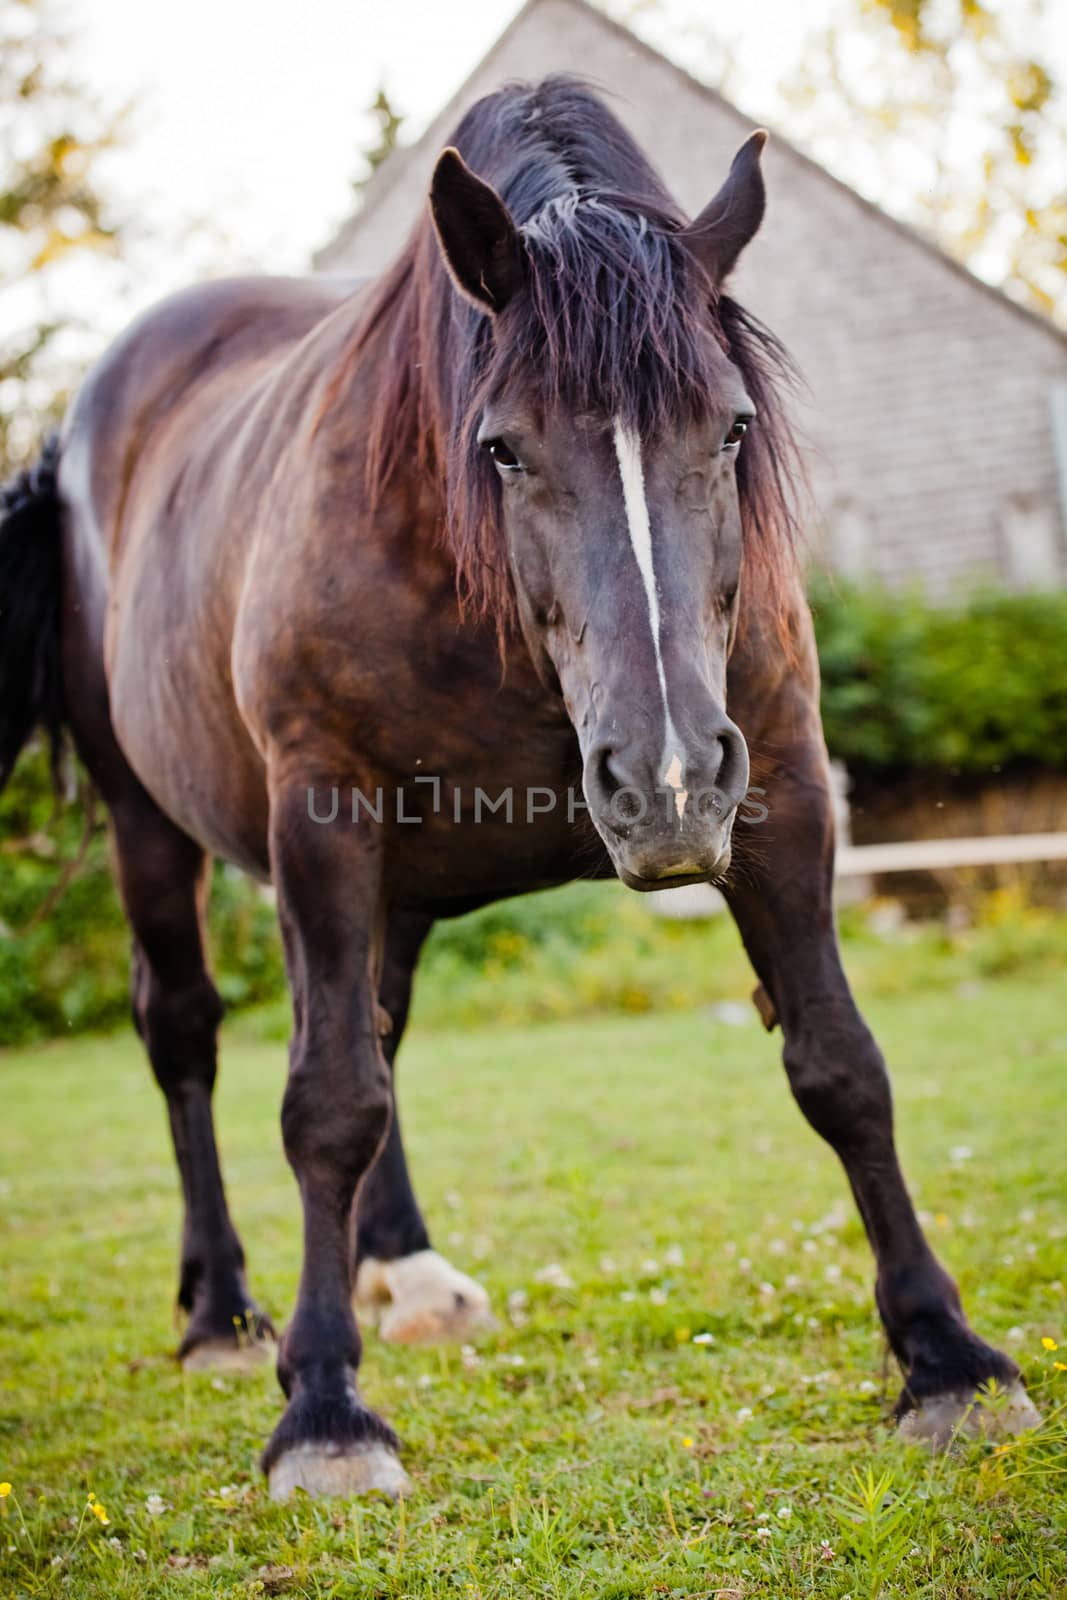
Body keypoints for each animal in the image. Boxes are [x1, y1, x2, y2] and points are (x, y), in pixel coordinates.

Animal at [0, 78, 1036, 1497]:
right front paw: (324, 1410)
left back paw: (401, 1271)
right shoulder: (322, 811)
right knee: (190, 1034)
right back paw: (221, 1312)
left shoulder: (776, 786)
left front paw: (945, 1358)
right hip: (152, 820)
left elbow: (839, 1064)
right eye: (500, 448)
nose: (663, 779)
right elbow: (325, 1103)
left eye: (730, 426)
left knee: (370, 1021)